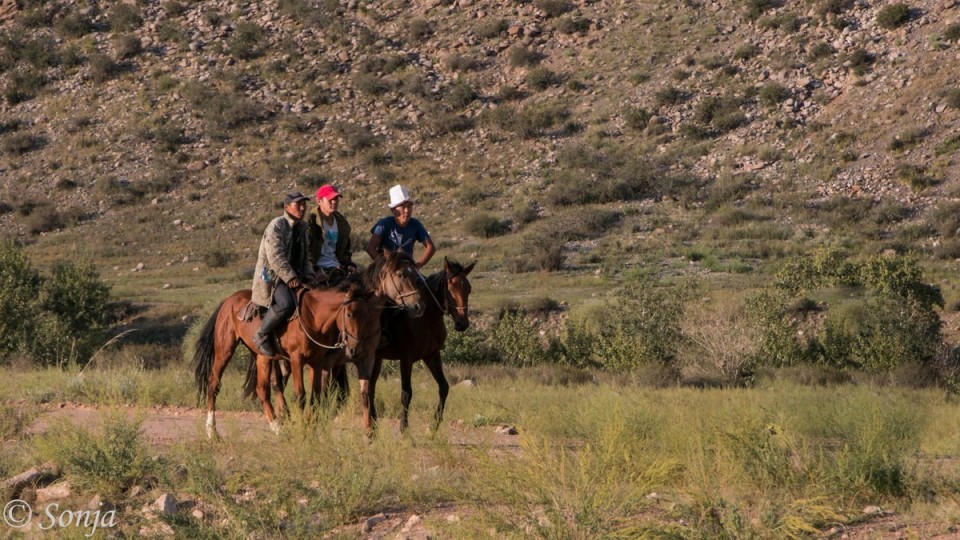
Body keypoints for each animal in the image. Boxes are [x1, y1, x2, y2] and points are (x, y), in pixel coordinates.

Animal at [191, 251, 424, 436]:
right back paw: (213, 431)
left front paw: (369, 434)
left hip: (264, 356)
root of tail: (229, 300)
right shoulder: (305, 360)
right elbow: (306, 396)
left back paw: (280, 425)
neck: (314, 316)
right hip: (225, 350)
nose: (418, 305)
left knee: (266, 387)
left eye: (416, 275)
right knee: (215, 383)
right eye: (401, 274)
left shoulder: (353, 359)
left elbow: (357, 395)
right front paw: (310, 427)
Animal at [366, 256, 474, 430]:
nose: (462, 324)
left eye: (469, 289)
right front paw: (403, 426)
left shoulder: (432, 356)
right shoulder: (406, 359)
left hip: (377, 358)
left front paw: (436, 423)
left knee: (370, 387)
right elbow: (406, 393)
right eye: (450, 287)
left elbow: (444, 387)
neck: (427, 319)